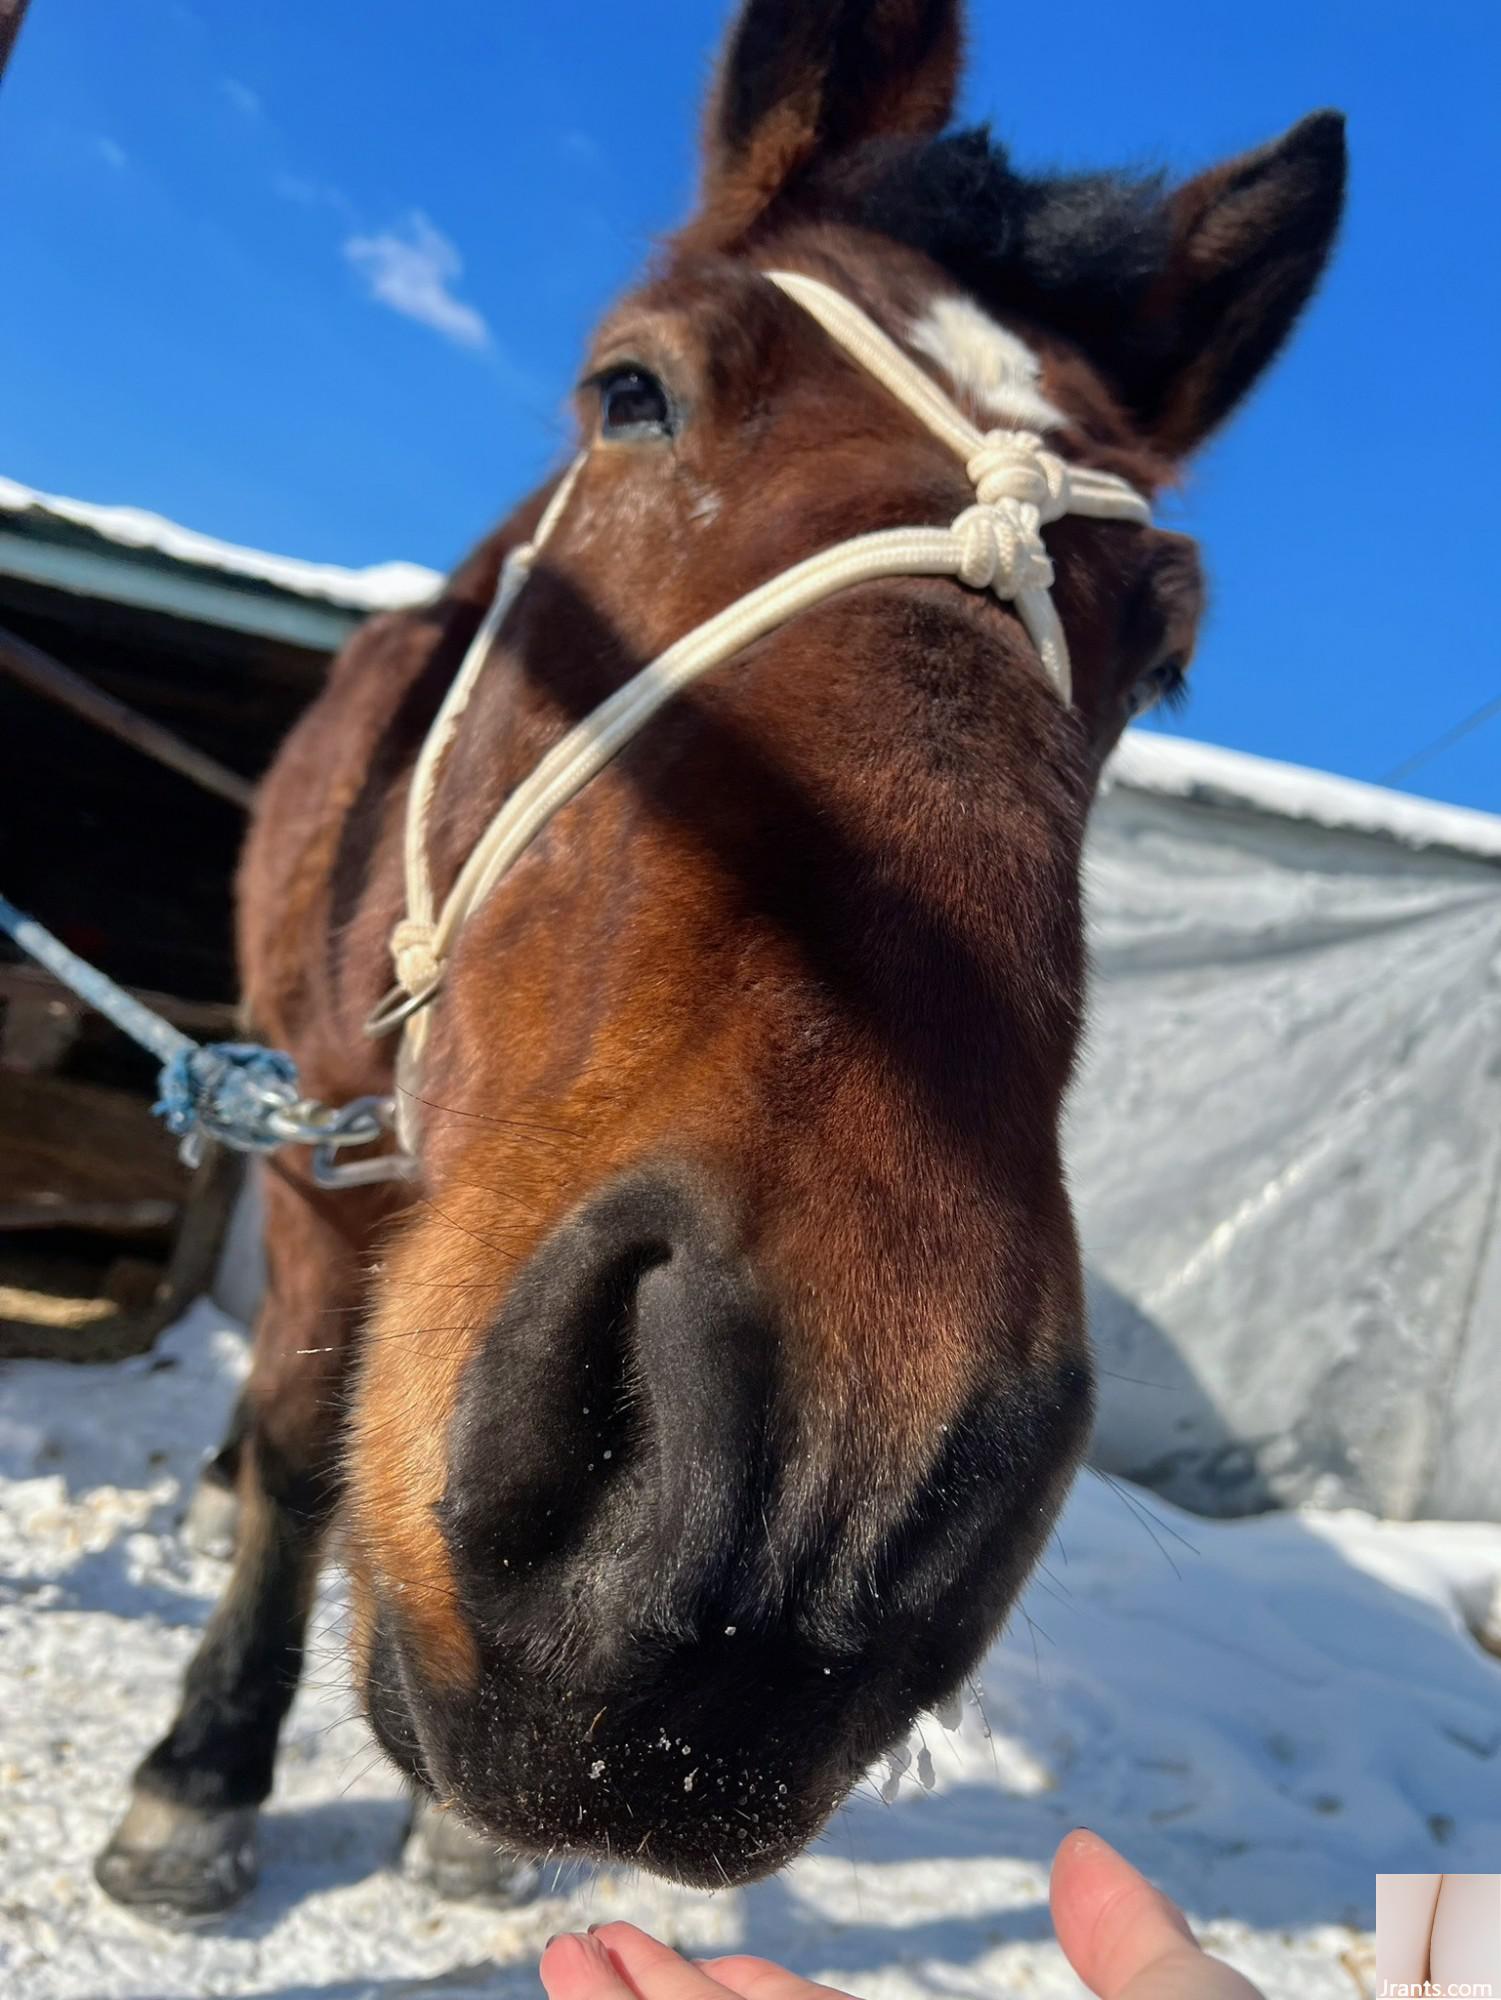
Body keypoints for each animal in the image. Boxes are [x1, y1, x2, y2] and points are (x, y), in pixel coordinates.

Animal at [94, 0, 1344, 1920]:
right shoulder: (312, 1149)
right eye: (633, 391)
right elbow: (305, 1434)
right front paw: (203, 1772)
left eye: (1169, 650)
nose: (791, 1491)